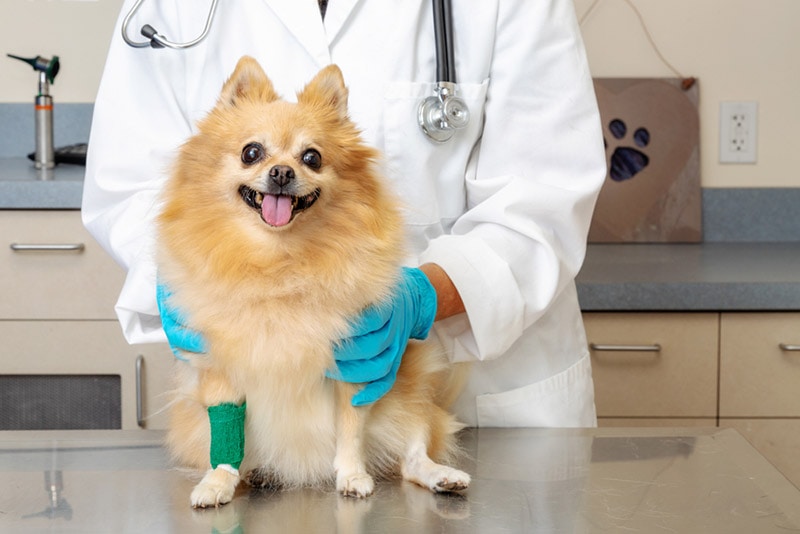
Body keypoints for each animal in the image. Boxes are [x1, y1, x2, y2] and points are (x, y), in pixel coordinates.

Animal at [155, 56, 468, 508]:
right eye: (251, 152)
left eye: (312, 157)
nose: (282, 172)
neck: (278, 263)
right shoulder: (219, 369)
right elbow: (224, 434)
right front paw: (218, 481)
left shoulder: (356, 363)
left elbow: (350, 429)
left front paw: (352, 475)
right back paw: (256, 474)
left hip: (405, 398)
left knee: (411, 456)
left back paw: (441, 475)